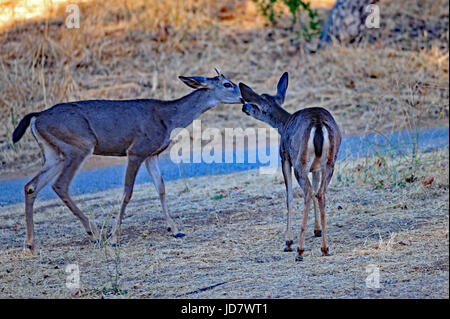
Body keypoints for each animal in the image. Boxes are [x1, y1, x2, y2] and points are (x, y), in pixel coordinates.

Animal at [12, 69, 241, 254]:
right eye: (227, 84)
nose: (243, 97)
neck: (168, 119)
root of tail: (37, 117)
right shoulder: (136, 150)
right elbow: (127, 192)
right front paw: (114, 237)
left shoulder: (152, 154)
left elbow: (161, 188)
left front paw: (175, 230)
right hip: (79, 145)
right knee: (60, 185)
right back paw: (95, 234)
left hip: (53, 152)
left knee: (31, 186)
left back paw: (31, 245)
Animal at [239, 73, 342, 262]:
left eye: (256, 103)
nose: (244, 106)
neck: (283, 124)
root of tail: (318, 125)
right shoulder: (316, 167)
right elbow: (315, 191)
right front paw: (316, 230)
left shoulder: (284, 157)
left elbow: (289, 198)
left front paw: (288, 242)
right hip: (330, 162)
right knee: (320, 193)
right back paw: (325, 247)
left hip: (299, 162)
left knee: (308, 192)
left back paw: (299, 250)